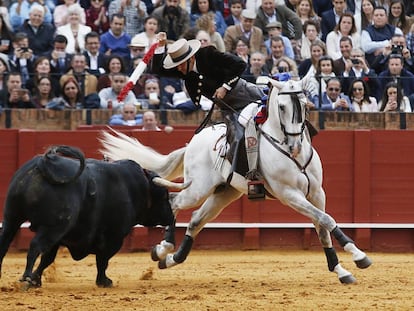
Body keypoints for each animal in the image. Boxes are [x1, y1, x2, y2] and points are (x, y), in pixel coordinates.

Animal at [0, 146, 184, 288]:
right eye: (163, 195)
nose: (171, 216)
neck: (136, 186)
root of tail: (43, 163)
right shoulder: (114, 237)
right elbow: (103, 260)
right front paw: (104, 281)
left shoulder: (60, 237)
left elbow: (48, 258)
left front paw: (37, 280)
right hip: (53, 227)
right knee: (35, 246)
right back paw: (26, 277)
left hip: (12, 219)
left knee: (5, 244)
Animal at [101, 78, 372, 286]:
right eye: (281, 107)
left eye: (304, 106)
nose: (295, 145)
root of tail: (194, 142)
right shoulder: (289, 194)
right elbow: (326, 220)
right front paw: (359, 255)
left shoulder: (317, 193)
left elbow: (322, 227)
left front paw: (342, 270)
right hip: (198, 188)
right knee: (175, 202)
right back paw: (162, 248)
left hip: (225, 192)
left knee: (195, 221)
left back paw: (170, 259)